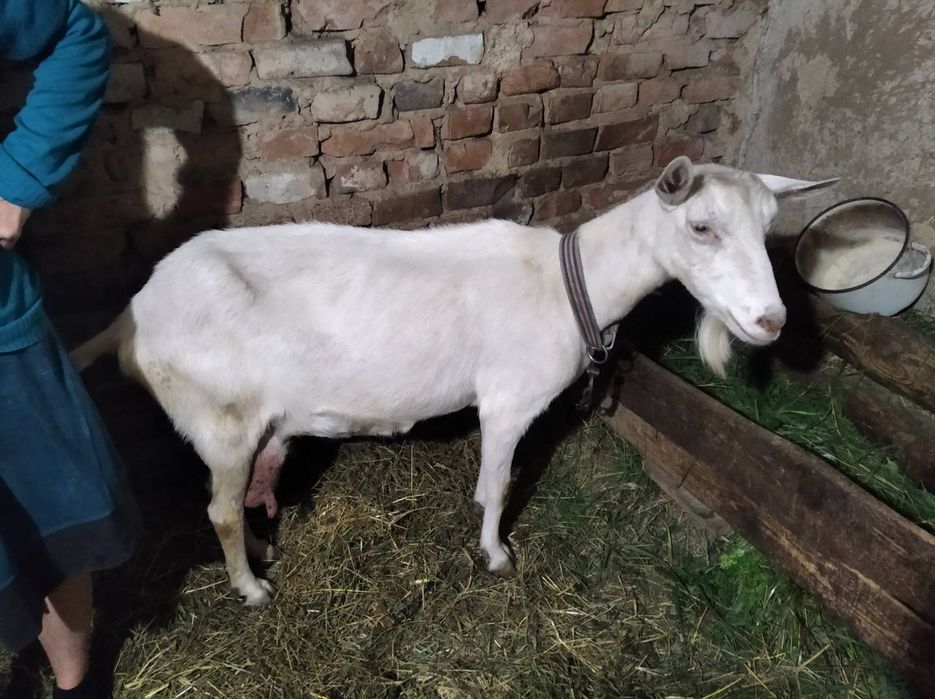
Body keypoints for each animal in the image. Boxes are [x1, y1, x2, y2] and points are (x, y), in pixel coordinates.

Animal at [72, 157, 837, 606]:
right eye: (702, 226)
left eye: (769, 226)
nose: (770, 320)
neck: (571, 284)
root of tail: (130, 316)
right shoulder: (509, 401)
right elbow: (496, 486)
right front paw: (497, 554)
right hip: (219, 417)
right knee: (221, 510)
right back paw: (252, 589)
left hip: (254, 423)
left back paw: (265, 552)